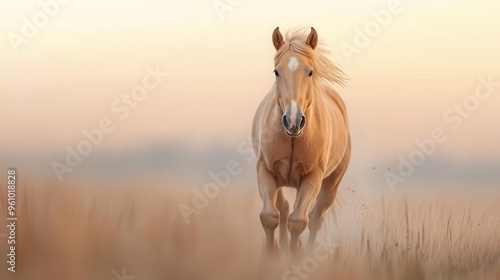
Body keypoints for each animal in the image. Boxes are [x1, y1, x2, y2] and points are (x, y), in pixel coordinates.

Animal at [250, 26, 352, 254]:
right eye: (276, 71)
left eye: (310, 71)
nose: (293, 121)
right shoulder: (265, 171)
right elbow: (269, 216)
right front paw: (270, 254)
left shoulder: (312, 177)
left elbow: (298, 221)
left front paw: (293, 256)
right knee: (283, 208)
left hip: (331, 185)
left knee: (315, 218)